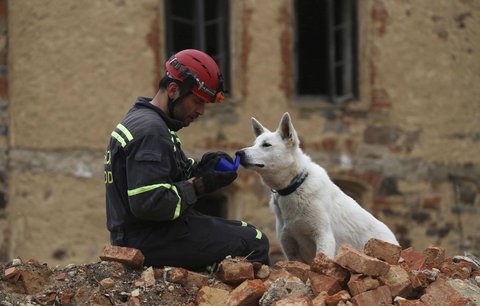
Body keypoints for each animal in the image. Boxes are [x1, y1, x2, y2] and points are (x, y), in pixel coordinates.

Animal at [236, 112, 398, 262]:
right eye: (254, 144)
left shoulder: (324, 237)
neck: (295, 186)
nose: (239, 152)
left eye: (266, 145)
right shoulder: (290, 248)